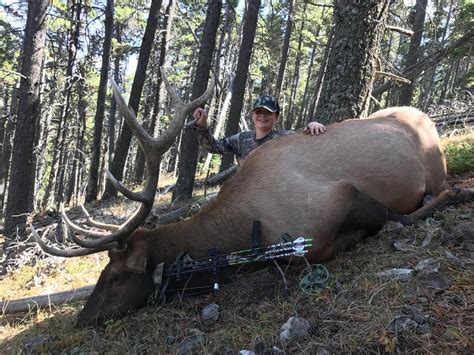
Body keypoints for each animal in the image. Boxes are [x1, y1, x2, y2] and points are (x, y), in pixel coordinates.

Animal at [33, 77, 470, 326]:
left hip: (435, 167)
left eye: (116, 276)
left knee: (434, 191)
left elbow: (378, 225)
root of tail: (427, 117)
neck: (244, 227)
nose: (82, 320)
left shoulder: (336, 205)